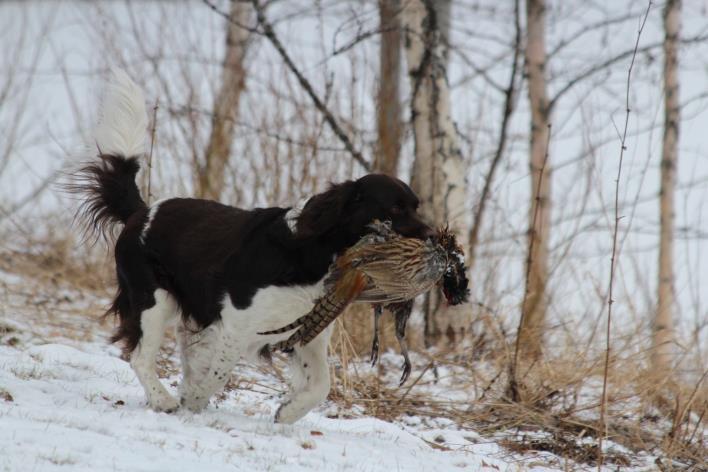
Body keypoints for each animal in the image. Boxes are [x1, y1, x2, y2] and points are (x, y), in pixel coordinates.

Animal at [76, 71, 432, 424]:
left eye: (416, 205)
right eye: (396, 208)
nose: (433, 236)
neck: (314, 253)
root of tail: (141, 212)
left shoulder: (308, 334)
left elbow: (321, 385)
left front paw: (287, 414)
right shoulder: (236, 324)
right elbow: (219, 374)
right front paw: (194, 402)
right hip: (153, 300)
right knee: (139, 356)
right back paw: (164, 401)